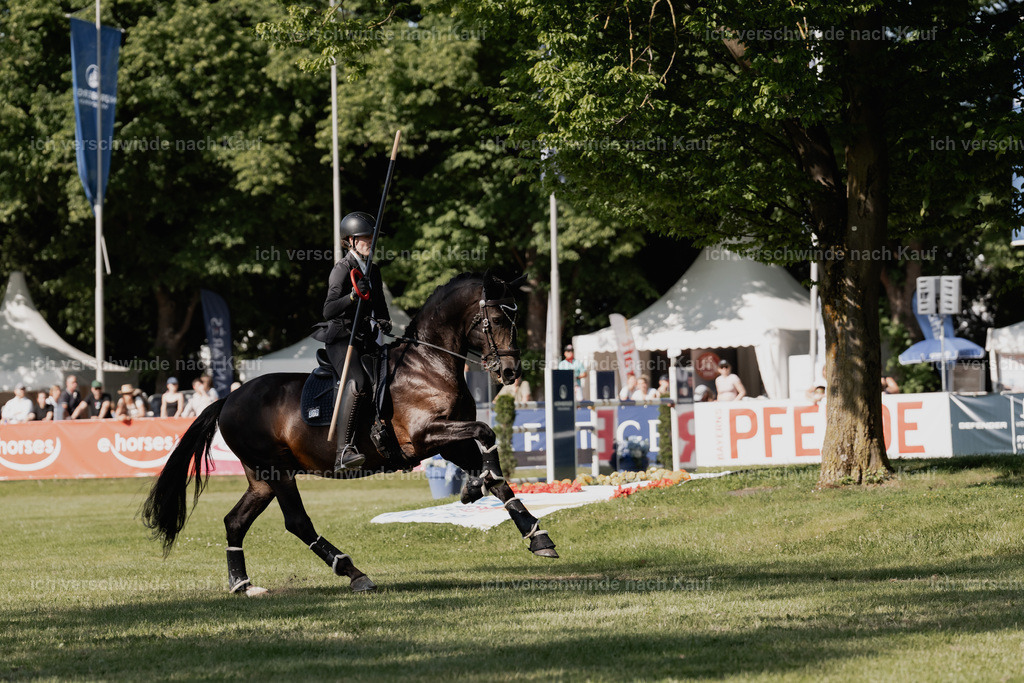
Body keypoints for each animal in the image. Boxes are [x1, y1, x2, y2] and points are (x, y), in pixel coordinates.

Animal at [142, 271, 557, 594]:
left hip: (261, 477)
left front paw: (535, 535)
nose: (510, 372)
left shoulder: (450, 441)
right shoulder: (426, 435)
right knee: (297, 522)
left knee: (235, 522)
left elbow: (496, 477)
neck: (429, 364)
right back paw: (352, 572)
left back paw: (242, 585)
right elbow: (486, 431)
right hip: (277, 471)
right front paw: (476, 487)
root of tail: (229, 397)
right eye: (497, 320)